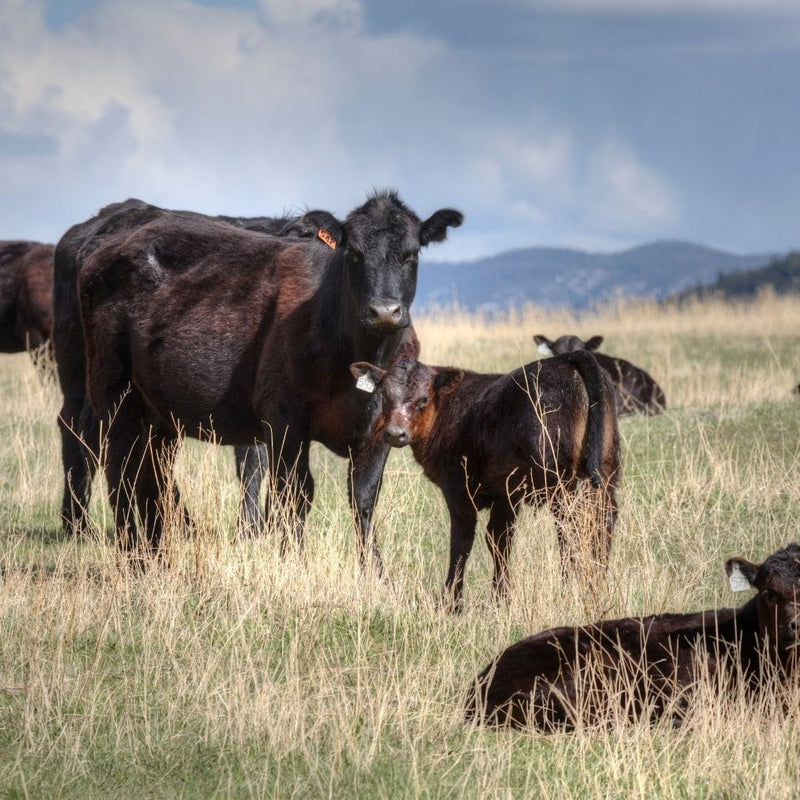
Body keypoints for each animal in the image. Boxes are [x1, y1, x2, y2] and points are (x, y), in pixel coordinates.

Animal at [349, 350, 620, 610]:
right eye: (385, 397)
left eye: (423, 399)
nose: (395, 434)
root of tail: (567, 358)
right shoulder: (506, 493)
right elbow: (499, 539)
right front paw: (500, 598)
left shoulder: (458, 488)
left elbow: (461, 541)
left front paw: (451, 601)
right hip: (606, 469)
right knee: (602, 520)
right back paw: (596, 582)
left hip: (558, 477)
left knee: (571, 526)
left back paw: (570, 588)